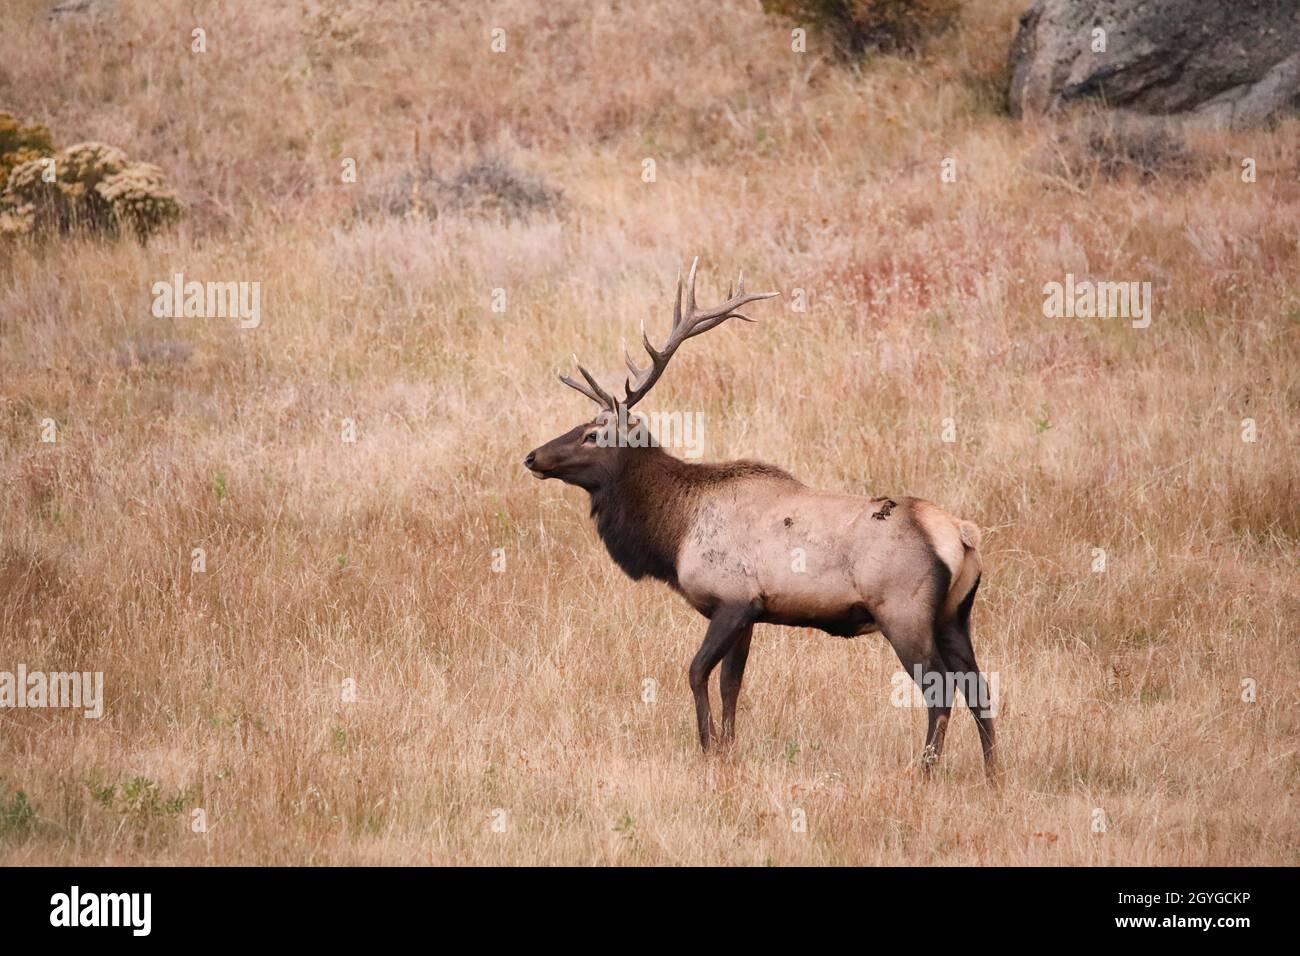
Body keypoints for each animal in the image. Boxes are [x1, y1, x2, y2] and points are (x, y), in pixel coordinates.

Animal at [524, 259, 997, 777]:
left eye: (592, 435)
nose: (532, 456)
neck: (673, 533)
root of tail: (962, 536)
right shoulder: (751, 612)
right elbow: (732, 684)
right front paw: (729, 749)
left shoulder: (732, 599)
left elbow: (696, 672)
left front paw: (708, 747)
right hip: (956, 615)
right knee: (979, 687)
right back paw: (994, 774)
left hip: (904, 611)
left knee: (940, 690)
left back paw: (926, 773)